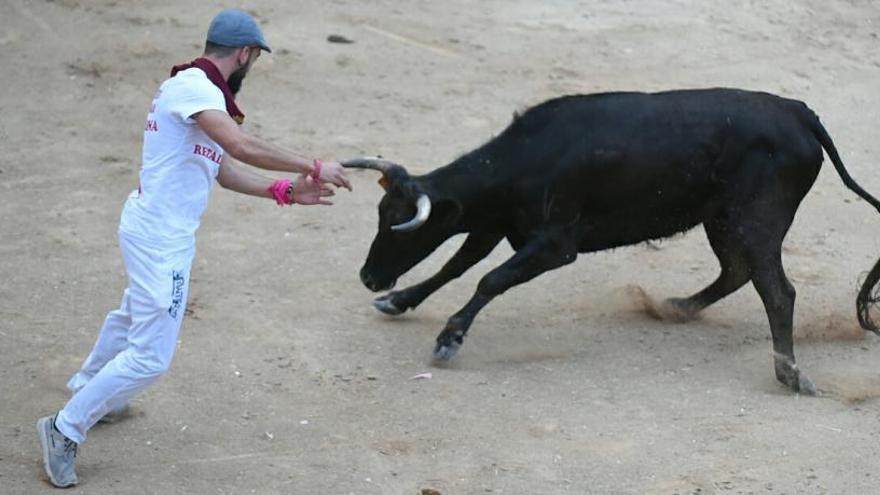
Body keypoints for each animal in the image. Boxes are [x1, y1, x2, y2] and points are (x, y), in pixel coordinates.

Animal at [342, 87, 880, 394]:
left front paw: (449, 339)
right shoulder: (496, 225)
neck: (529, 156)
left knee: (776, 291)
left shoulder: (554, 246)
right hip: (721, 219)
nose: (369, 277)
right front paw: (400, 301)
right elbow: (456, 265)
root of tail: (799, 112)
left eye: (401, 224)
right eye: (380, 214)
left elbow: (490, 279)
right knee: (736, 271)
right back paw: (677, 307)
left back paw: (789, 373)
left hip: (758, 219)